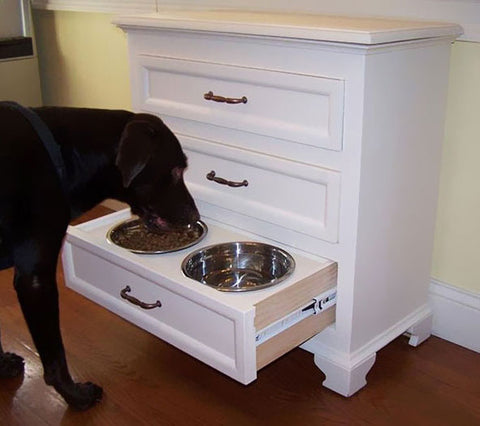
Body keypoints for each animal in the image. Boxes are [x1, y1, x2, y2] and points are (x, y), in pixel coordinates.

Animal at [0, 103, 199, 410]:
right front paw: (75, 396)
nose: (195, 216)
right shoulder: (35, 279)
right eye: (178, 169)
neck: (63, 156)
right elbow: (55, 356)